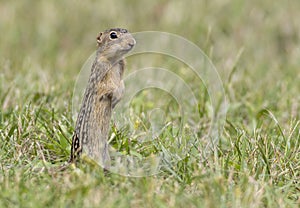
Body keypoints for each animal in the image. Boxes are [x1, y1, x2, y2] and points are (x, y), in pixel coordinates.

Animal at [69, 28, 136, 167]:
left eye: (128, 31)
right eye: (113, 35)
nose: (132, 42)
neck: (114, 59)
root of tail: (72, 160)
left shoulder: (122, 65)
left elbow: (122, 84)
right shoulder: (102, 70)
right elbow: (108, 87)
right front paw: (115, 98)